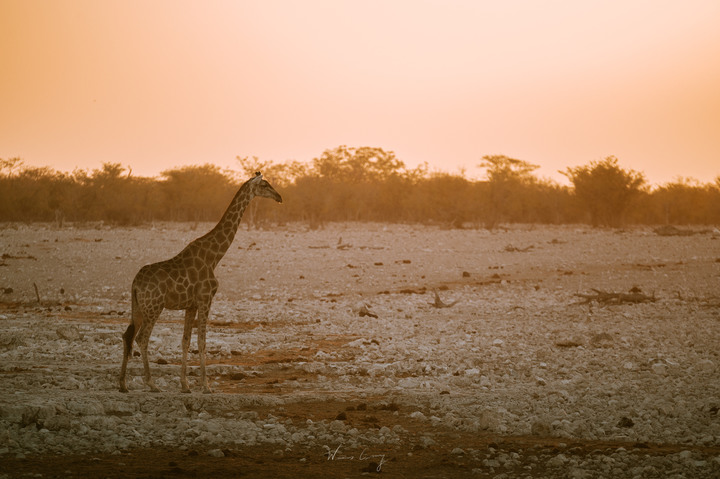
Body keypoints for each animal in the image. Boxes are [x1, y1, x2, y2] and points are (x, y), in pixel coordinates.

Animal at [118, 172, 282, 394]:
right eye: (264, 185)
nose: (279, 197)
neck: (214, 256)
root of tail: (135, 283)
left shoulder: (191, 305)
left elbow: (186, 341)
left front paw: (185, 385)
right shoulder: (206, 299)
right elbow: (202, 341)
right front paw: (206, 386)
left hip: (138, 307)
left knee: (127, 335)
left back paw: (123, 384)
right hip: (154, 307)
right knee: (141, 338)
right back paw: (151, 383)